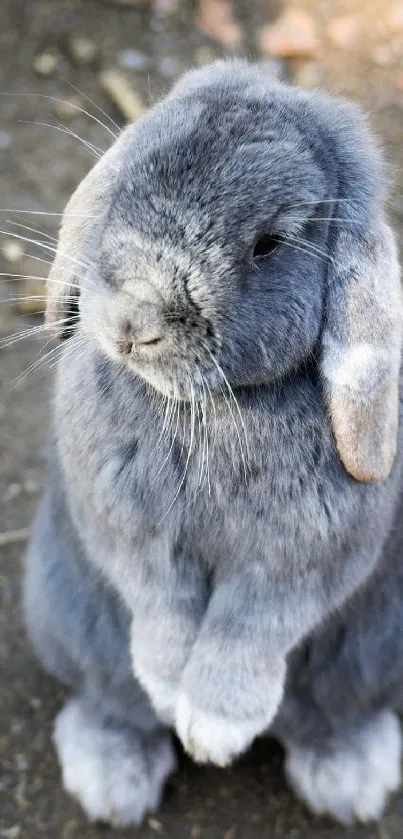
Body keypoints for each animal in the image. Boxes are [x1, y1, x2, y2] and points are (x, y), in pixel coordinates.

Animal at [23, 60, 403, 828]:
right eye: (127, 182)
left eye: (268, 244)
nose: (133, 322)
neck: (210, 408)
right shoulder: (129, 534)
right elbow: (162, 607)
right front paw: (173, 690)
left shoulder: (299, 563)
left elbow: (248, 629)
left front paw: (215, 729)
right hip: (67, 615)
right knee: (112, 700)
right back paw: (111, 780)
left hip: (372, 654)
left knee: (331, 716)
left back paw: (351, 779)